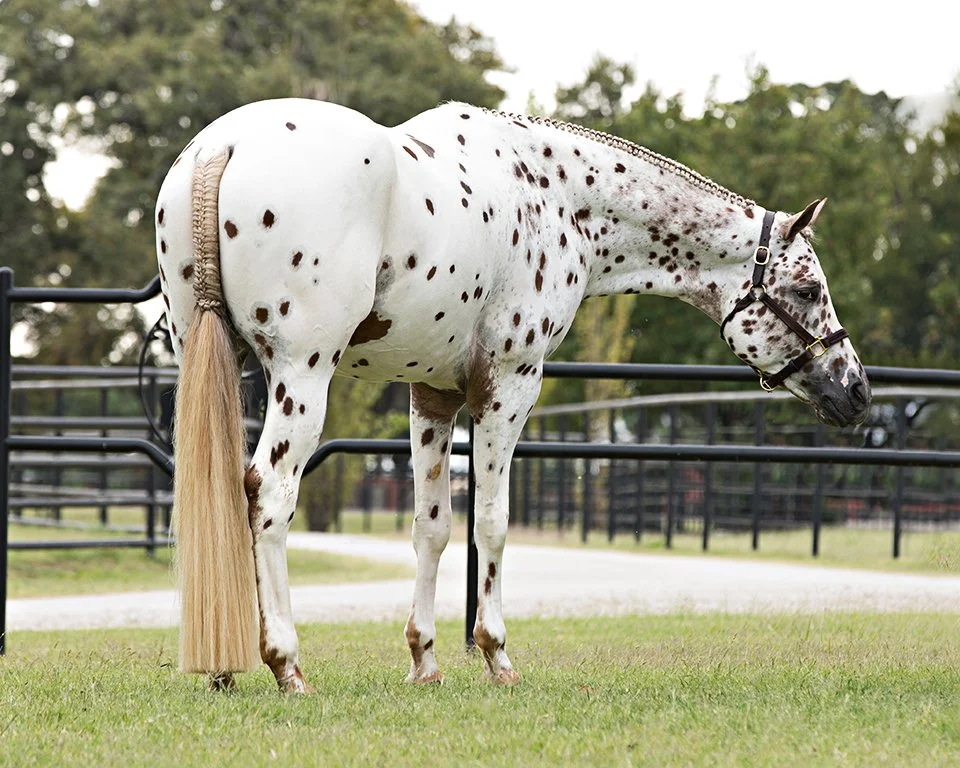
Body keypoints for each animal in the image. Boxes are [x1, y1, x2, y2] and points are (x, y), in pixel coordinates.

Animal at [155, 98, 871, 692]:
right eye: (807, 287)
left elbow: (433, 527)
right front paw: (496, 654)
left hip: (212, 358)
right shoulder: (510, 384)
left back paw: (223, 668)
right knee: (269, 497)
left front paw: (425, 662)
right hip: (302, 376)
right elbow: (492, 523)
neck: (557, 194)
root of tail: (224, 147)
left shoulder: (432, 395)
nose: (856, 392)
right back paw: (286, 664)